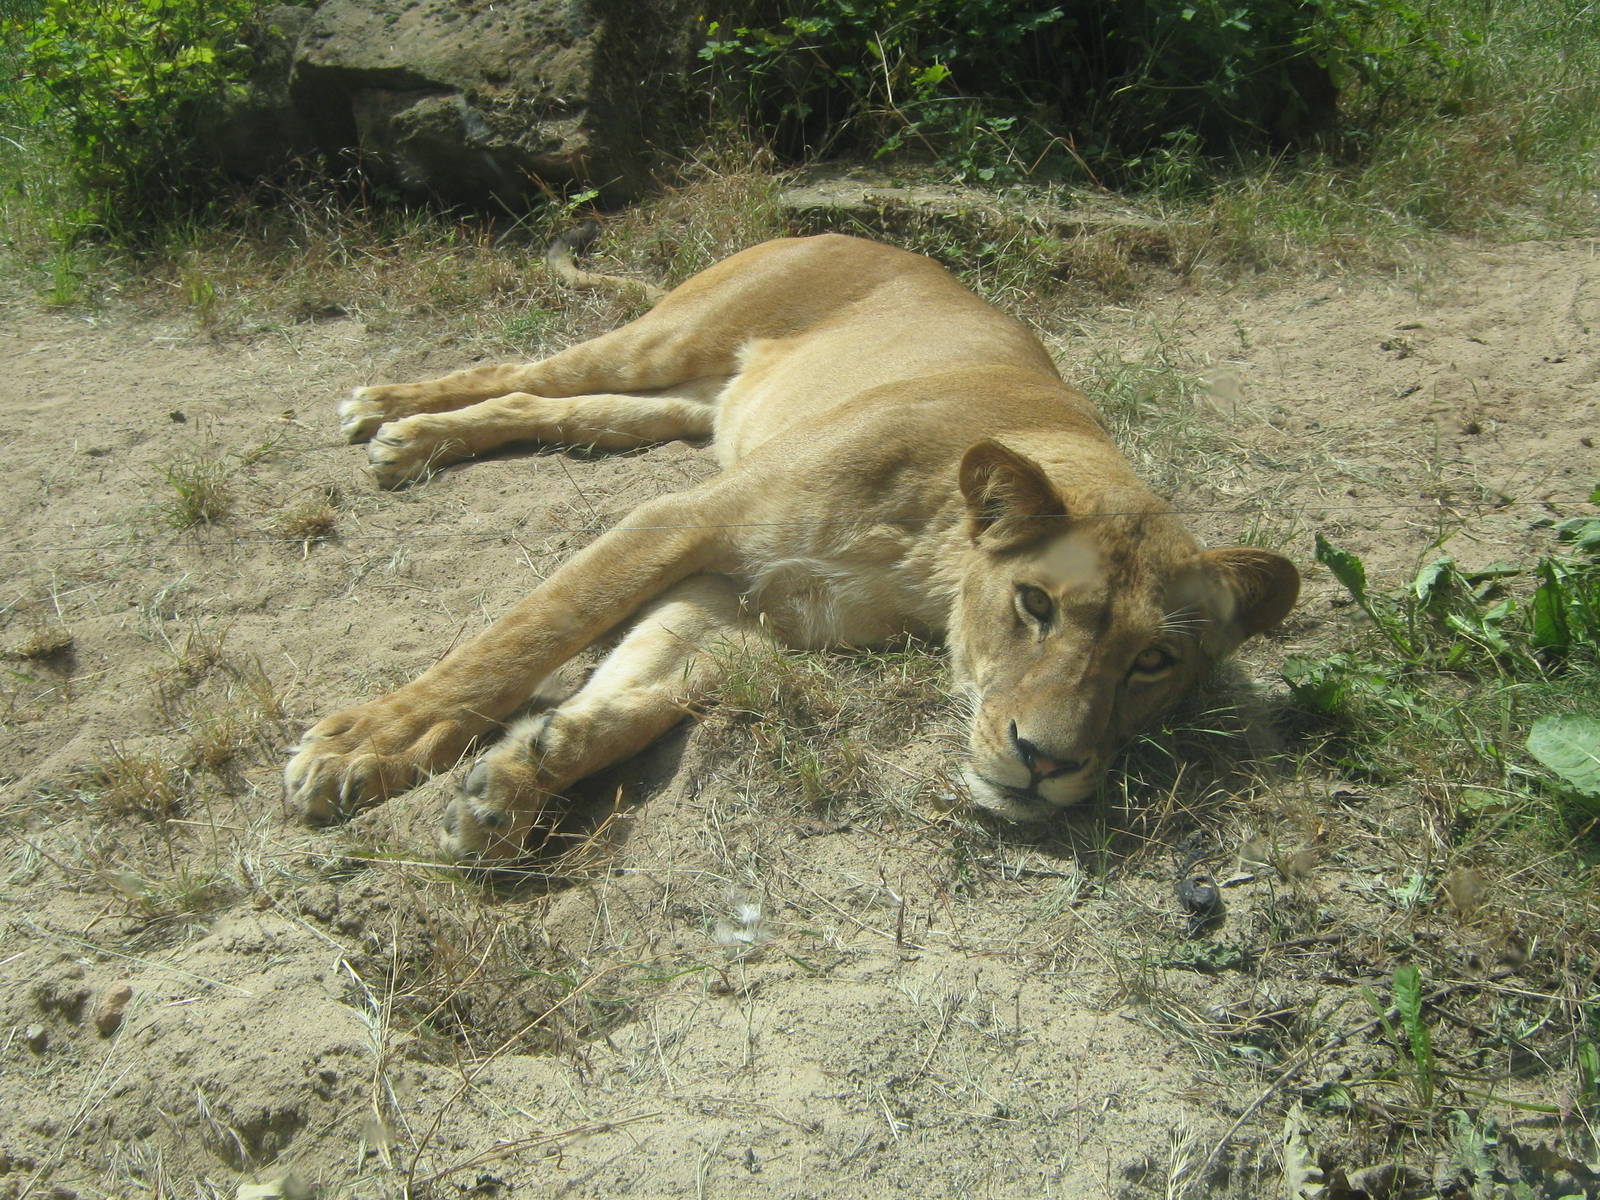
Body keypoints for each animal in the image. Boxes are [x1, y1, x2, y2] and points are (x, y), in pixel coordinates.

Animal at [284, 233, 1299, 859]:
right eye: (1035, 606)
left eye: (1154, 661)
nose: (1046, 763)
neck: (932, 563)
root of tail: (834, 232)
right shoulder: (686, 518)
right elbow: (528, 634)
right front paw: (366, 745)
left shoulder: (755, 601)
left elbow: (651, 692)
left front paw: (518, 779)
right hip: (668, 338)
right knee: (520, 367)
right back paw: (388, 415)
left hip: (680, 405)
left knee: (554, 406)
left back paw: (413, 440)